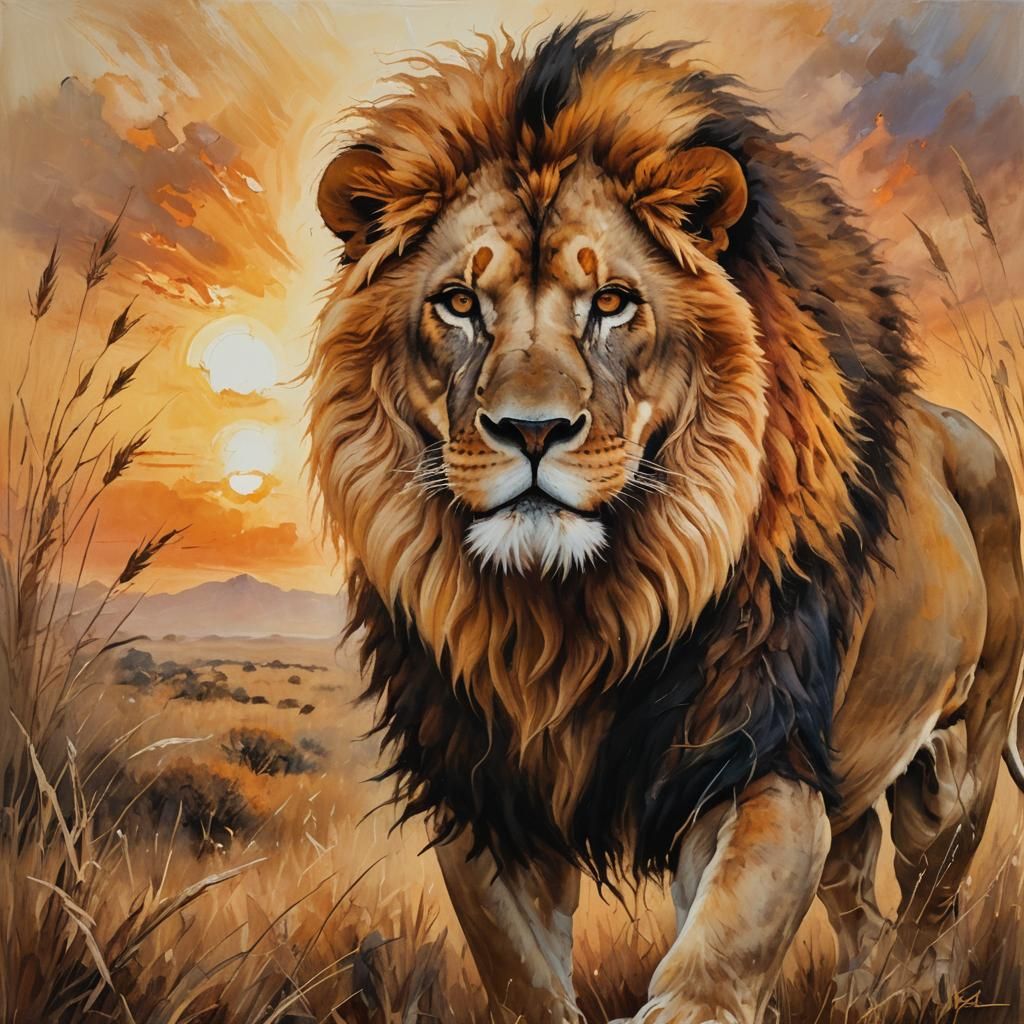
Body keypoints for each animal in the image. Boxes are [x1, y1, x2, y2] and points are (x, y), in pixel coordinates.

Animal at [308, 16, 1024, 1024]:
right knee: (858, 891)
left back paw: (907, 995)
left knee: (932, 896)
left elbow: (721, 946)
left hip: (960, 756)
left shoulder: (755, 758)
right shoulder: (485, 794)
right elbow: (521, 970)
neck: (567, 616)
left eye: (611, 303)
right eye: (459, 303)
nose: (533, 430)